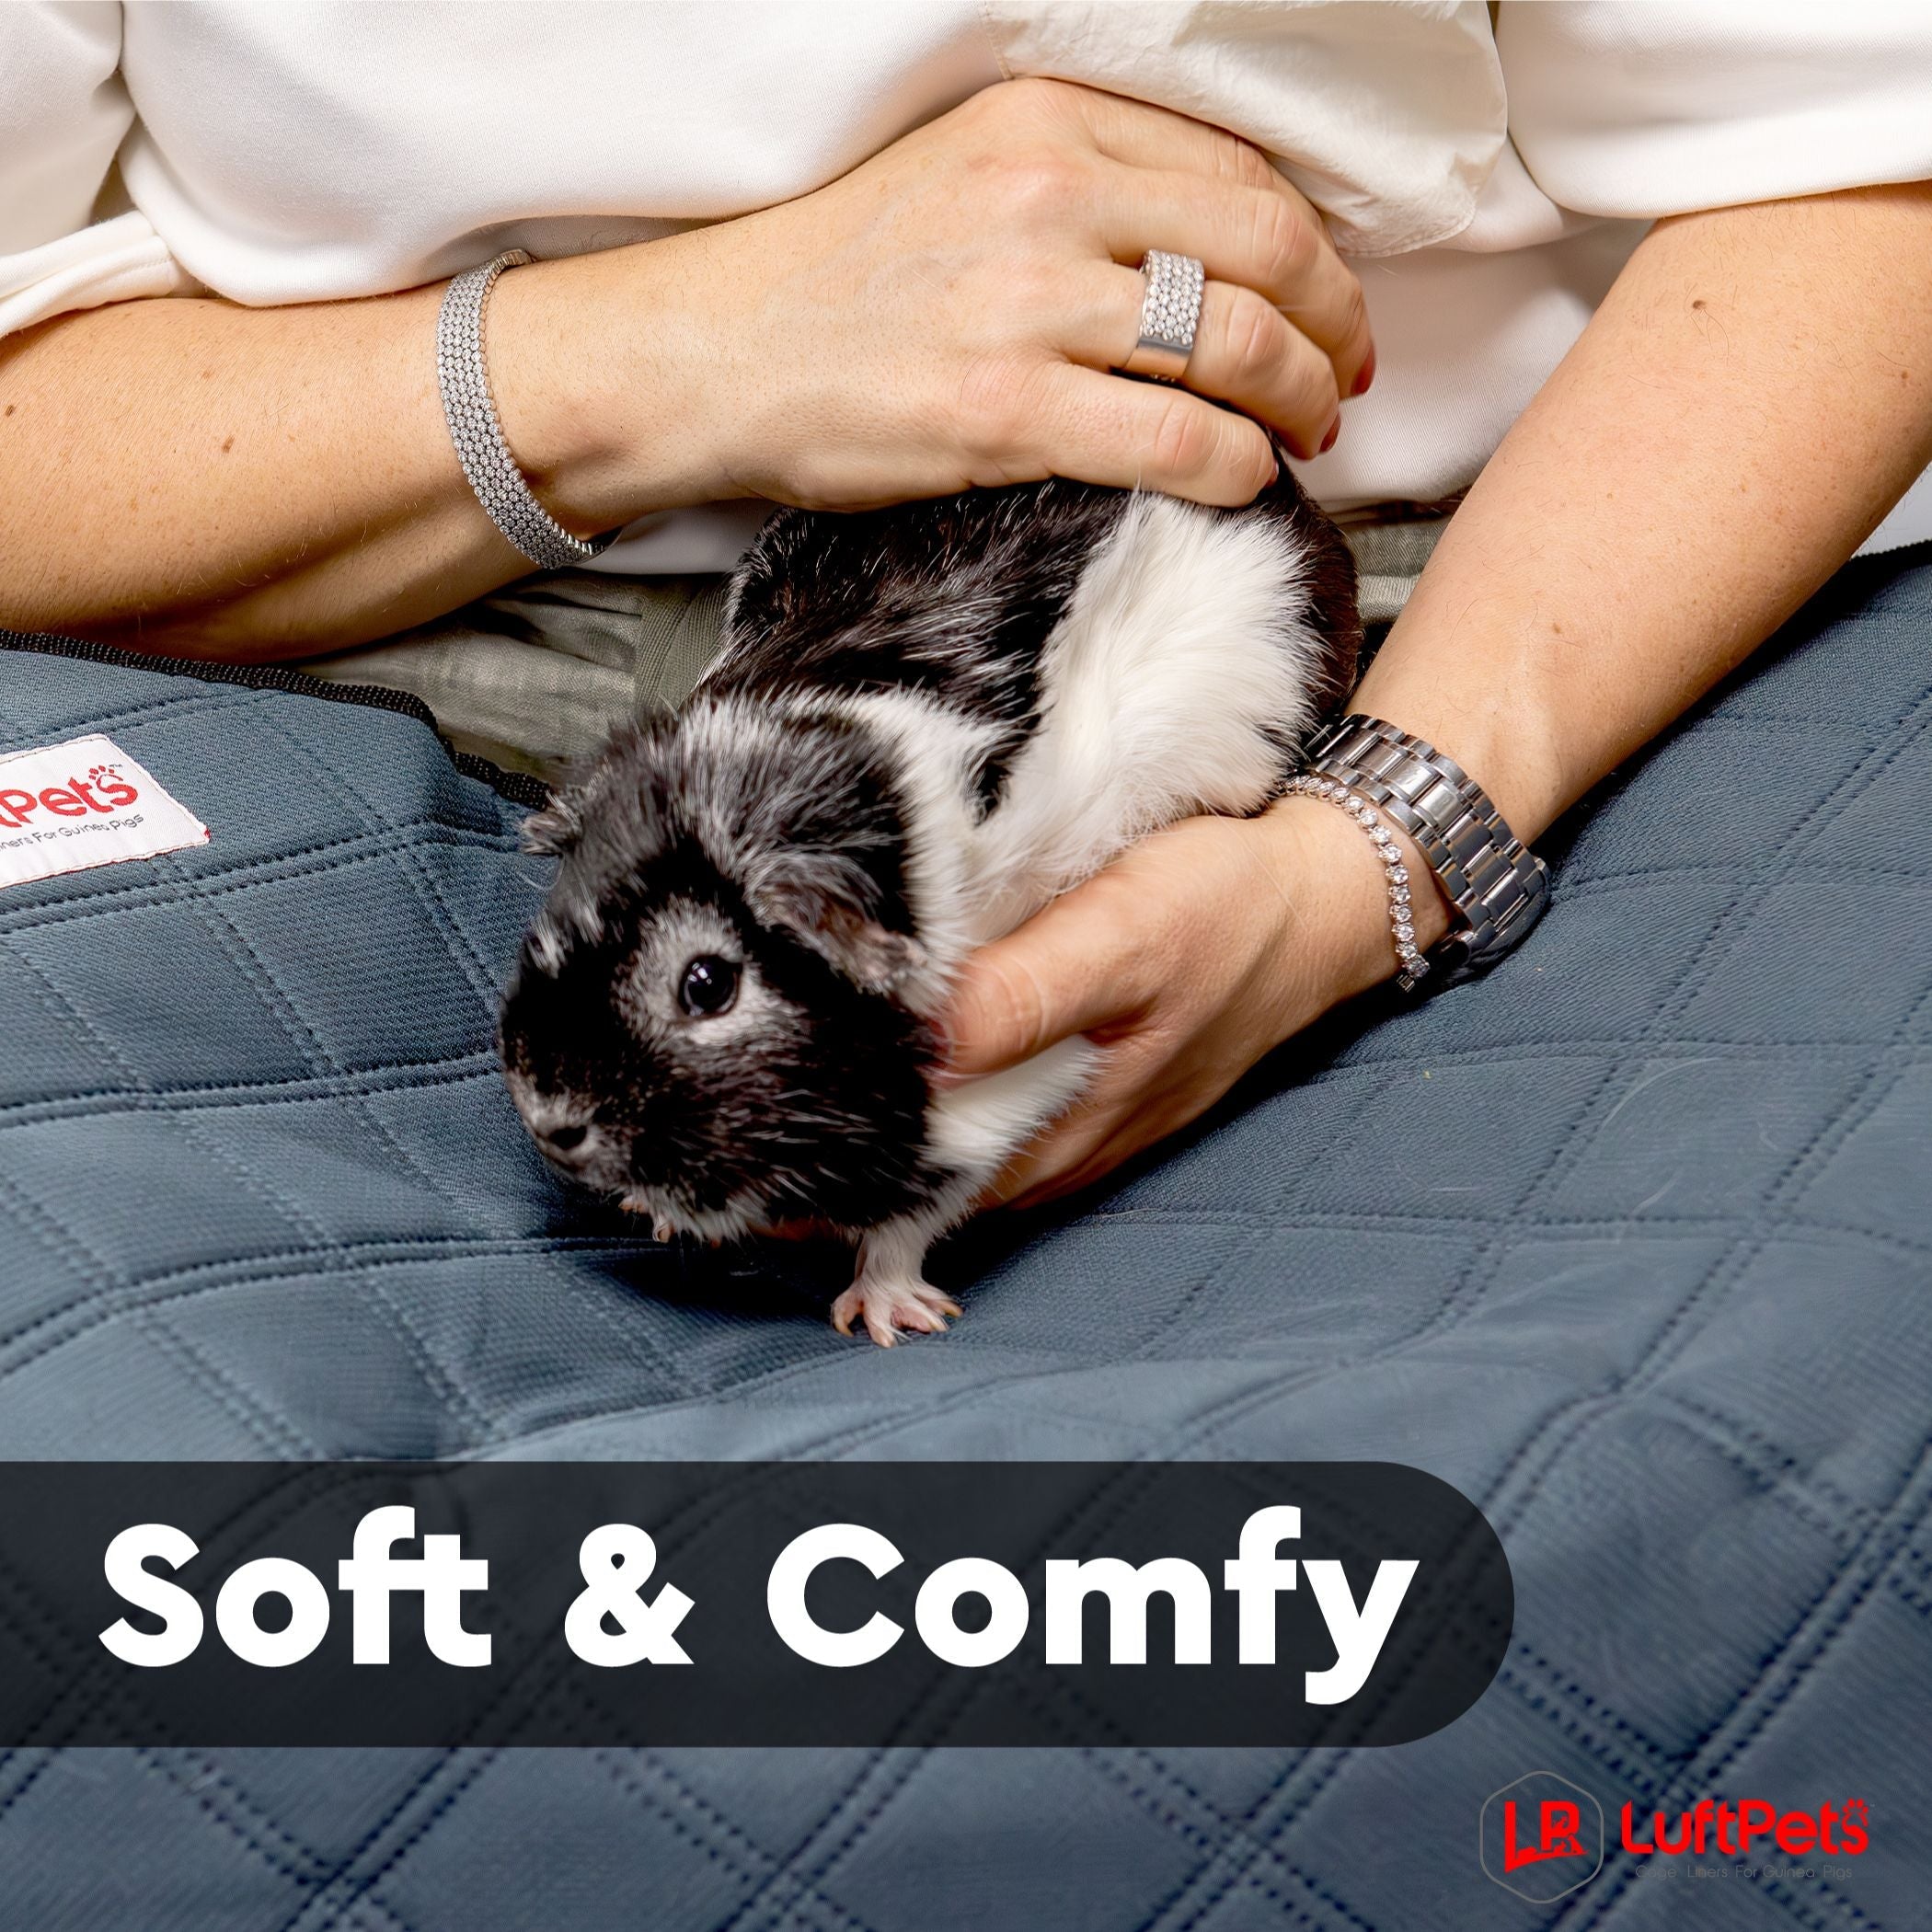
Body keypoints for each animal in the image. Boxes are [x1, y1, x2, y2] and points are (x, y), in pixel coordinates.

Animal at [498, 468, 1361, 1345]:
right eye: (561, 915)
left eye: (707, 984)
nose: (548, 1117)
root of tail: (1287, 493)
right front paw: (657, 1214)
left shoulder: (1004, 1093)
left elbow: (911, 1218)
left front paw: (888, 1318)